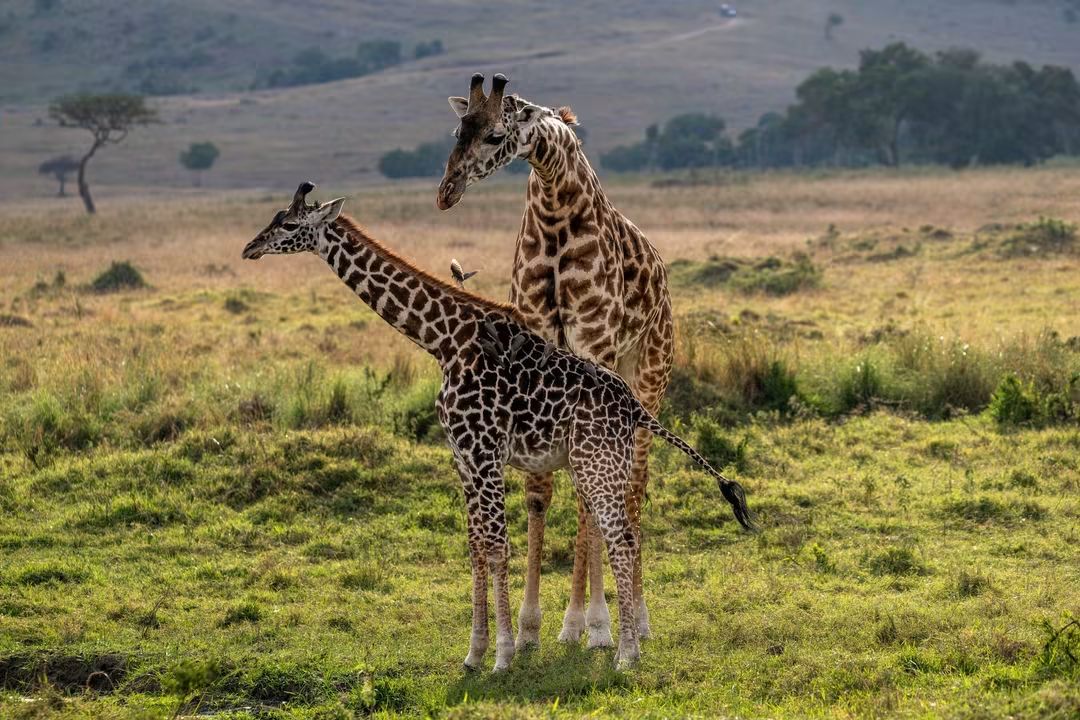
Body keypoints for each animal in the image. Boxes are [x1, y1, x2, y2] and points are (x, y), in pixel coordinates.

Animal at [241, 183, 756, 671]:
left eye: (289, 225)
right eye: (273, 218)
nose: (250, 247)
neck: (444, 340)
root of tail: (634, 407)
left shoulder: (485, 453)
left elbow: (497, 547)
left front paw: (504, 655)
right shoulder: (463, 458)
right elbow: (475, 546)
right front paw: (474, 653)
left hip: (597, 461)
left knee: (621, 537)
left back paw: (625, 653)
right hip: (604, 461)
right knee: (622, 531)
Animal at [438, 73, 677, 650]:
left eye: (495, 133)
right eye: (457, 129)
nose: (445, 193)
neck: (555, 213)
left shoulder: (594, 347)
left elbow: (590, 498)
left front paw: (592, 624)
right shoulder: (537, 345)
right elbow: (539, 492)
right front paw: (529, 627)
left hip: (649, 374)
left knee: (633, 483)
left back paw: (638, 617)